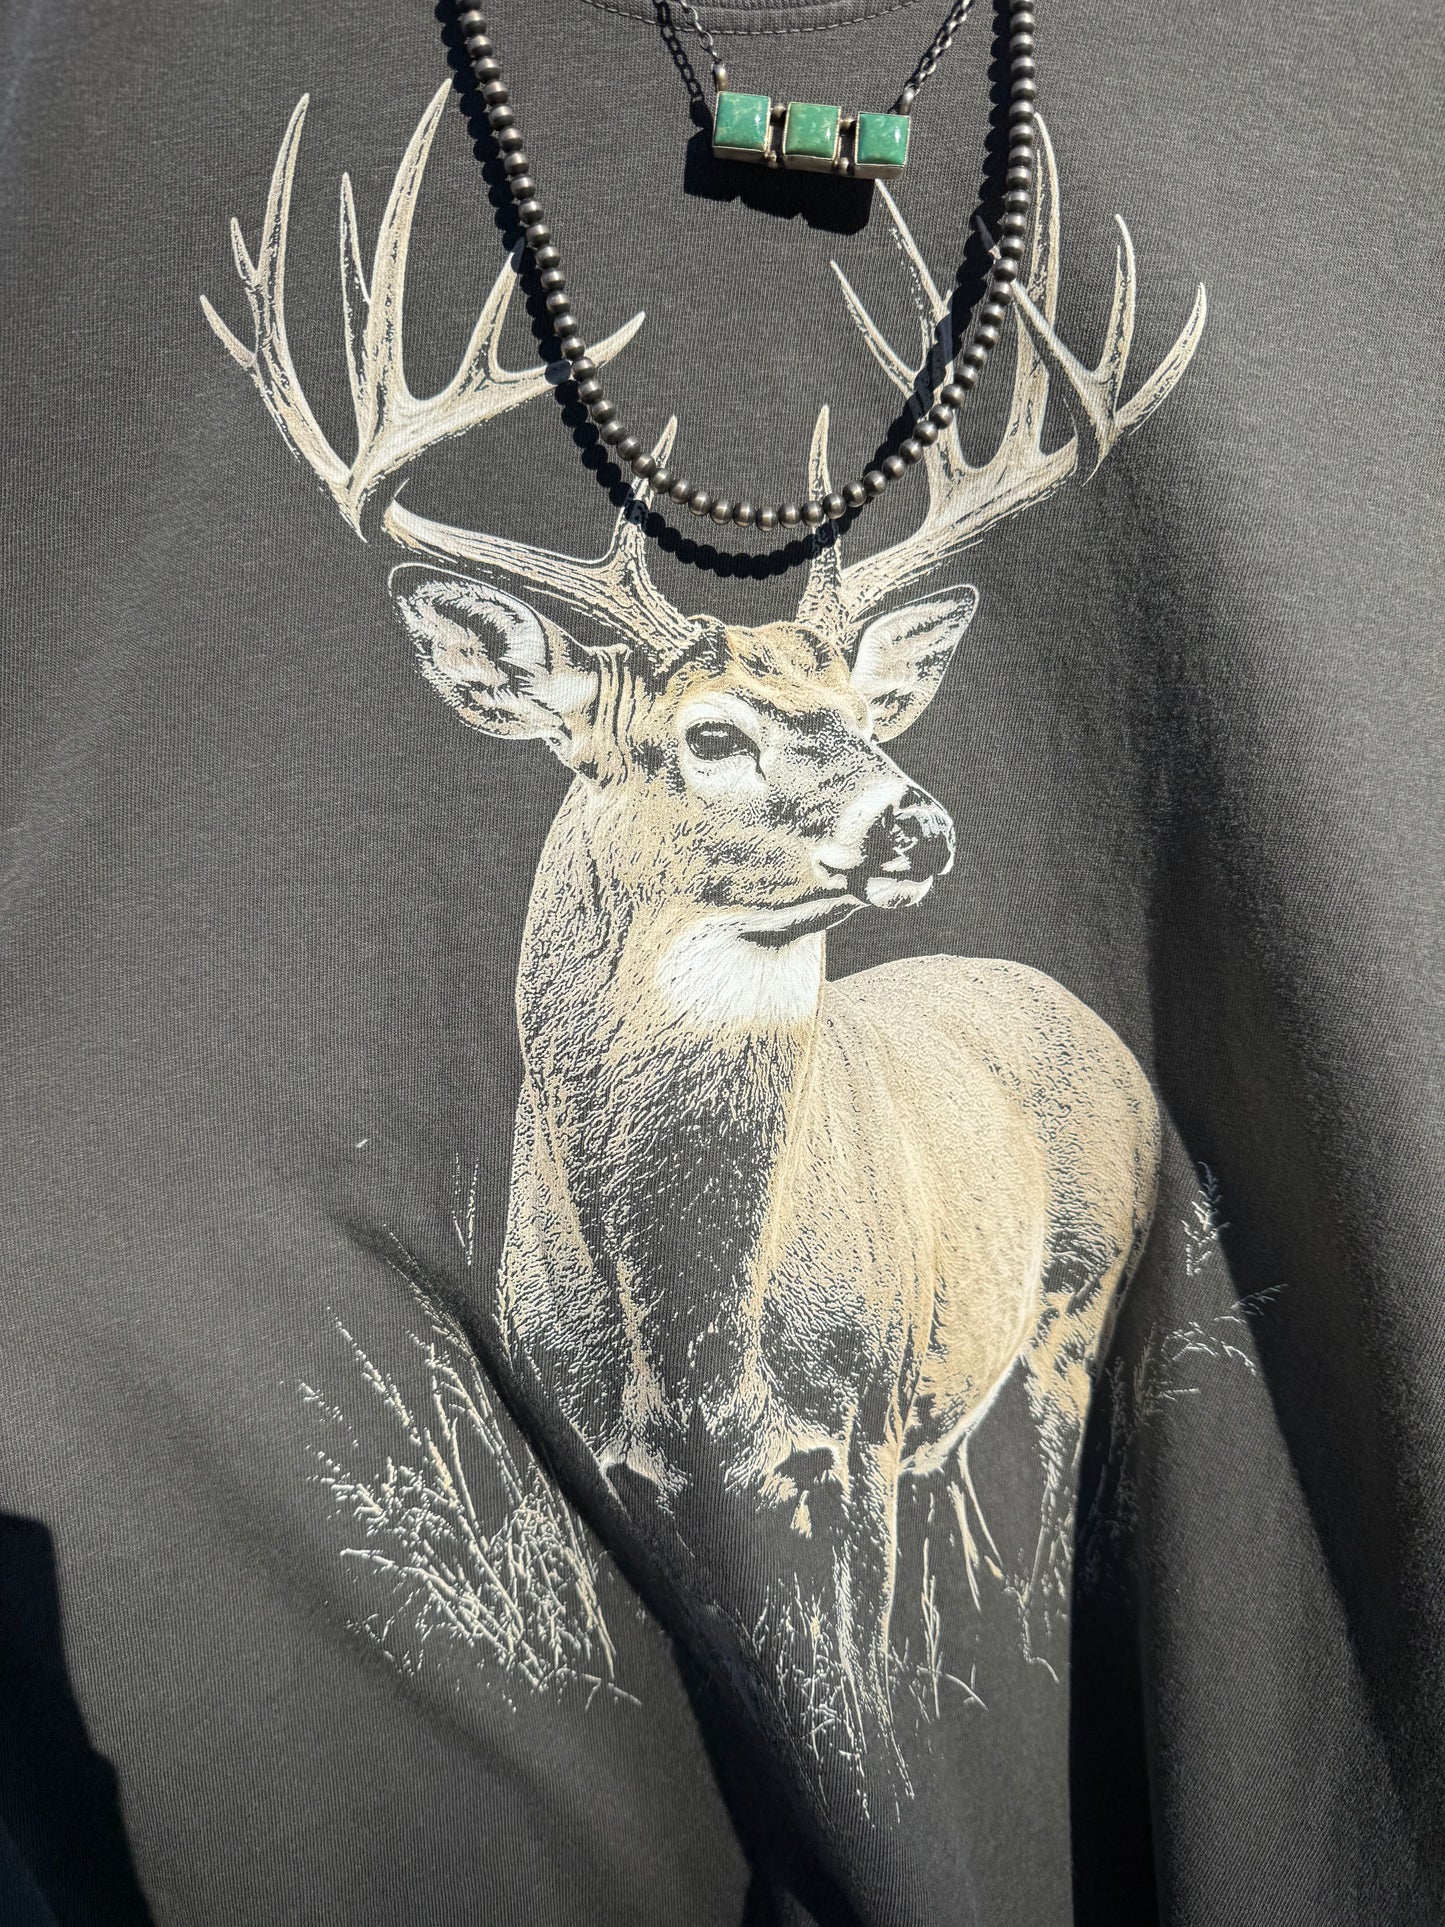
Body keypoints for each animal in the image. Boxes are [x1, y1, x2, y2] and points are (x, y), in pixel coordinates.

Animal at [204, 81, 1205, 1749]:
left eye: (863, 711)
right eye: (713, 735)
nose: (918, 821)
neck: (689, 1352)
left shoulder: (861, 1419)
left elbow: (866, 1692)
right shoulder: (596, 1457)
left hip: (1067, 1308)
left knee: (1028, 1546)